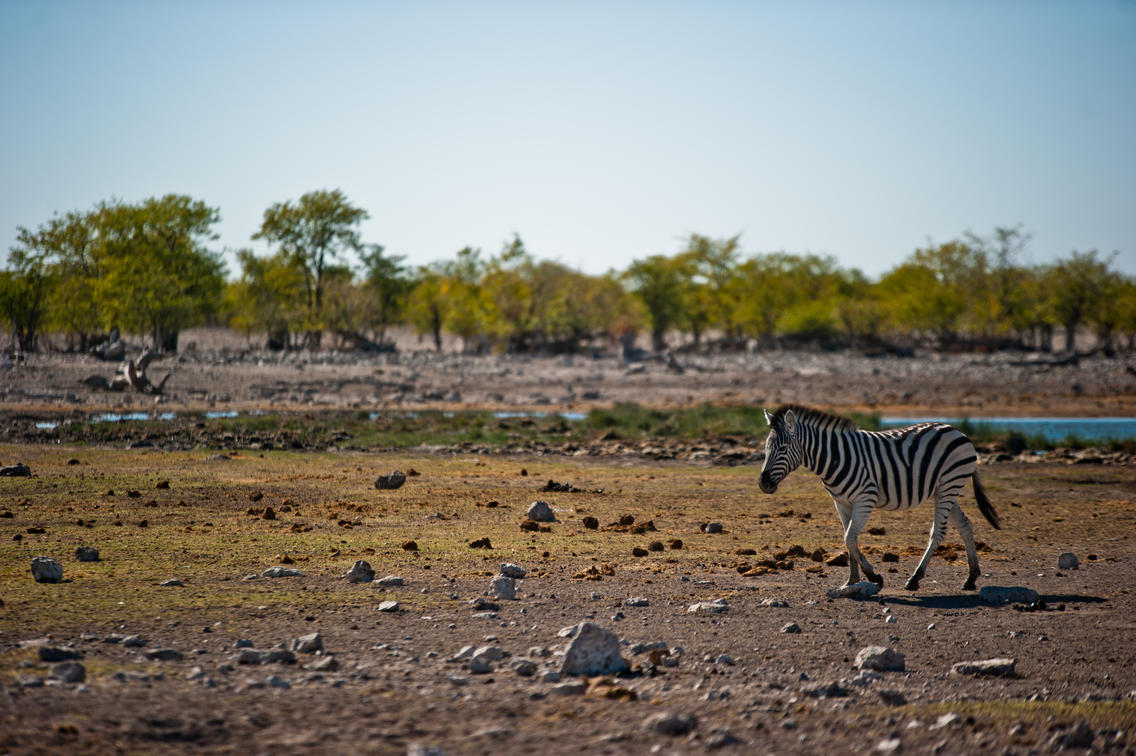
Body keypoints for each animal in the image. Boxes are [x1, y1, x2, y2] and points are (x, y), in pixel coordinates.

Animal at [757, 404, 1000, 592]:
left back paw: (915, 578)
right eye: (766, 448)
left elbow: (849, 538)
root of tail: (956, 430)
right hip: (944, 489)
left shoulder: (866, 499)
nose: (763, 484)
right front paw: (851, 581)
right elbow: (848, 539)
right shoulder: (841, 503)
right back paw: (971, 578)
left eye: (783, 447)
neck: (835, 457)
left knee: (938, 532)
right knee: (965, 525)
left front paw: (873, 576)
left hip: (950, 482)